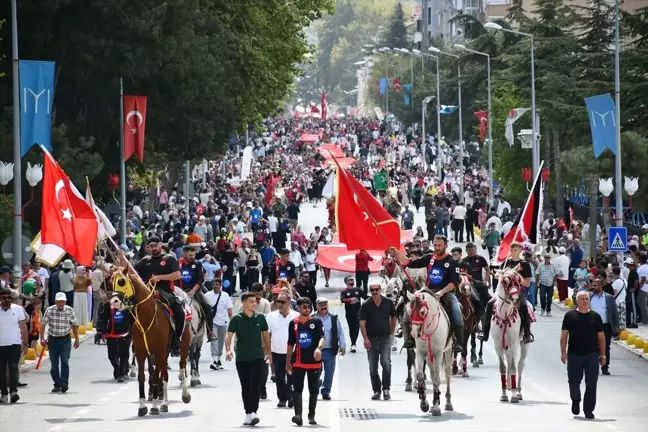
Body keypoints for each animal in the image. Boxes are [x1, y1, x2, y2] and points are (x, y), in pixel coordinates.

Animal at [110, 268, 192, 416]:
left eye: (122, 281)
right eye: (110, 281)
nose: (114, 302)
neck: (146, 317)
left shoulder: (158, 350)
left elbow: (154, 377)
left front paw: (154, 406)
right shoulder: (141, 351)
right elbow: (142, 377)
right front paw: (142, 406)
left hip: (182, 346)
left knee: (182, 366)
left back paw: (184, 395)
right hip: (163, 352)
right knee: (164, 374)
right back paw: (163, 402)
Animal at [408, 288, 454, 416]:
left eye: (422, 311)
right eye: (409, 310)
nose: (414, 332)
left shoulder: (438, 354)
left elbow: (437, 379)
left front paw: (437, 408)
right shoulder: (421, 352)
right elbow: (420, 376)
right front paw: (424, 404)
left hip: (448, 352)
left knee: (447, 374)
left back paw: (448, 403)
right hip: (429, 357)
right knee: (433, 375)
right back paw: (433, 404)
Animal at [492, 266, 532, 404]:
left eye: (518, 281)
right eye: (505, 281)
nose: (515, 299)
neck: (504, 315)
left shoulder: (514, 343)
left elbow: (514, 367)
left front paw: (514, 396)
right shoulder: (498, 345)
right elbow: (502, 367)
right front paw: (504, 394)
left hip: (523, 344)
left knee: (520, 365)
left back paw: (518, 391)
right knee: (509, 360)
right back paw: (509, 386)